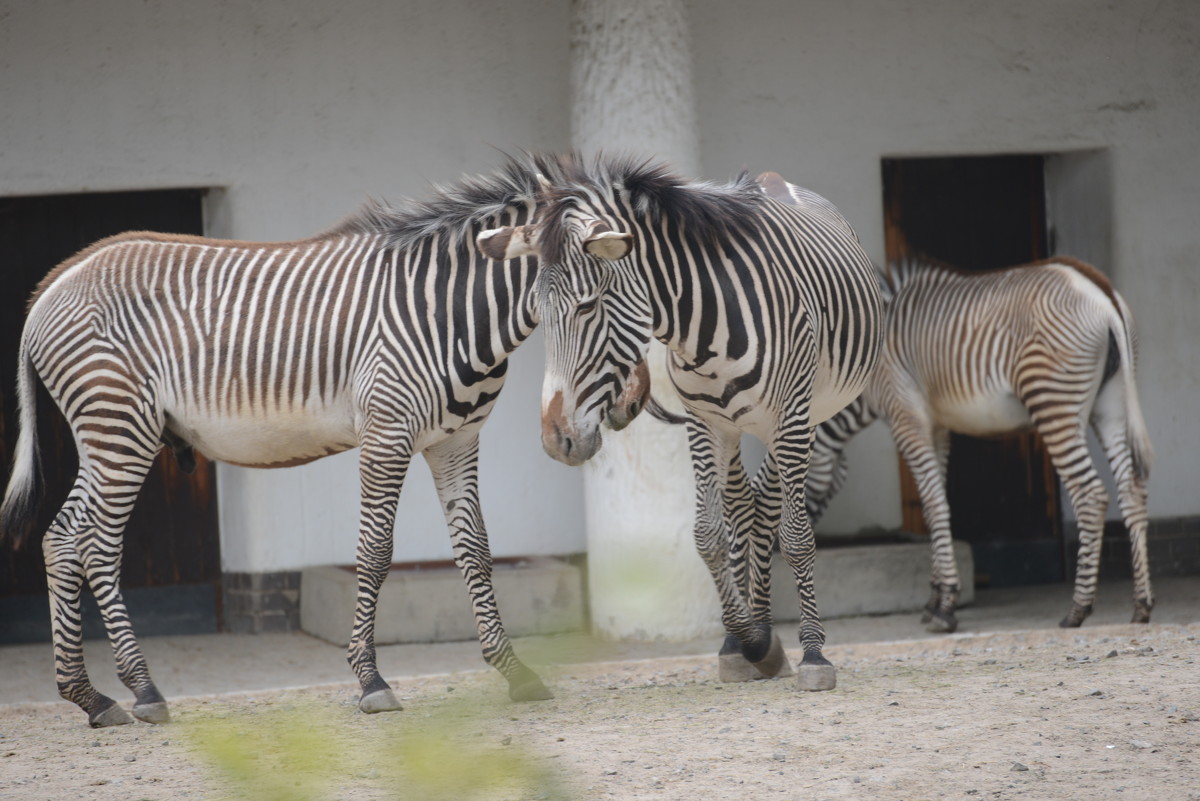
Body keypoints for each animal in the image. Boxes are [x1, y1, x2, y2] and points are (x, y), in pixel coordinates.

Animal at [0, 154, 657, 724]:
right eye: (589, 306)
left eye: (608, 304)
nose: (632, 405)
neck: (450, 311)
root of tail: (55, 282)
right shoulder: (387, 433)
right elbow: (374, 551)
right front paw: (370, 681)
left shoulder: (456, 441)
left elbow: (476, 549)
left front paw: (513, 671)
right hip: (120, 428)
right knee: (96, 545)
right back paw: (142, 689)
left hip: (107, 434)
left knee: (61, 539)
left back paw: (90, 697)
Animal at [475, 154, 883, 690]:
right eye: (538, 314)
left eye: (587, 305)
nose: (555, 439)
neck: (706, 324)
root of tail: (776, 181)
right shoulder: (702, 422)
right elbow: (708, 536)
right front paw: (752, 643)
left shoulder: (792, 417)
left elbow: (796, 537)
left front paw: (813, 655)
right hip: (738, 428)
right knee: (748, 508)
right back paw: (747, 634)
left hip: (800, 419)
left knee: (771, 510)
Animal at [796, 255, 1152, 633]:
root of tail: (1096, 289)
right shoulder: (936, 427)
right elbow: (932, 506)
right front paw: (934, 600)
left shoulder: (906, 417)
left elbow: (935, 505)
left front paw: (945, 608)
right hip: (1111, 404)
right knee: (1131, 489)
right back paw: (1141, 606)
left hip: (1053, 401)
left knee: (1091, 495)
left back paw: (1077, 610)